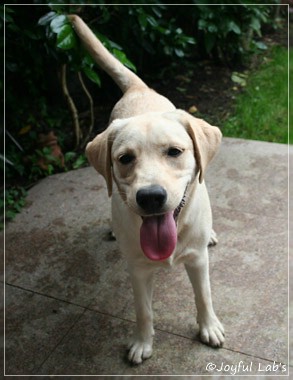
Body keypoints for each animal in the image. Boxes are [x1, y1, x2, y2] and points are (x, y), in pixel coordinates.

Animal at [69, 15, 225, 366]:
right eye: (125, 158)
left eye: (174, 151)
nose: (151, 197)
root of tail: (138, 88)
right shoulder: (138, 270)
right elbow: (143, 311)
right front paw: (142, 342)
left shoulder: (197, 261)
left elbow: (204, 296)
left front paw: (209, 327)